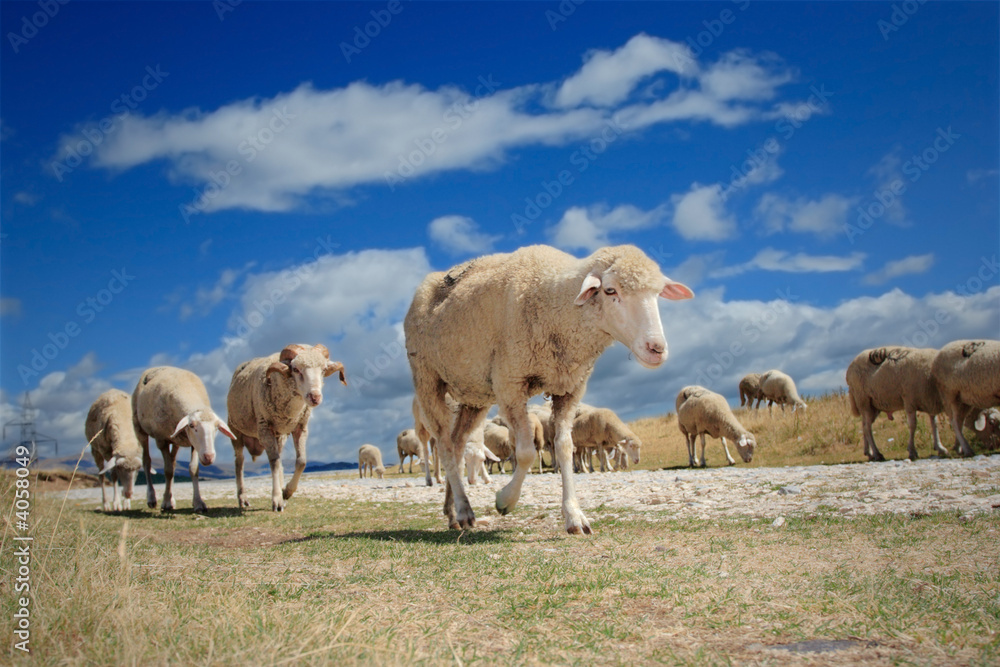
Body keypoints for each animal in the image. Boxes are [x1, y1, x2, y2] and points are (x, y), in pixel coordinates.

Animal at [132, 367, 235, 512]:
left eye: (216, 427)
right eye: (191, 425)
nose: (209, 457)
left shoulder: (194, 444)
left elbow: (193, 469)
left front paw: (198, 503)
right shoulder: (161, 440)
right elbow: (168, 471)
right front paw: (166, 503)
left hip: (175, 439)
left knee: (173, 462)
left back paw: (171, 499)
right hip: (139, 427)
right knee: (147, 461)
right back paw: (152, 499)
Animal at [227, 343, 347, 511]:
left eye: (323, 369)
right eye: (295, 369)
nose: (315, 397)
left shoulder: (300, 427)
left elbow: (301, 461)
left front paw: (287, 492)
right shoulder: (264, 428)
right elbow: (274, 463)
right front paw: (277, 498)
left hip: (280, 436)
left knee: (279, 461)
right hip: (235, 430)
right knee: (239, 463)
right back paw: (242, 498)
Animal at [404, 244, 693, 534]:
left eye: (657, 293)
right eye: (610, 290)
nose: (656, 349)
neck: (557, 302)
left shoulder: (570, 389)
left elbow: (565, 448)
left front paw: (574, 516)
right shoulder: (510, 384)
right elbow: (526, 453)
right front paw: (504, 501)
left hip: (474, 395)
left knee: (457, 444)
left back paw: (452, 511)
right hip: (427, 378)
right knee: (444, 445)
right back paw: (464, 510)